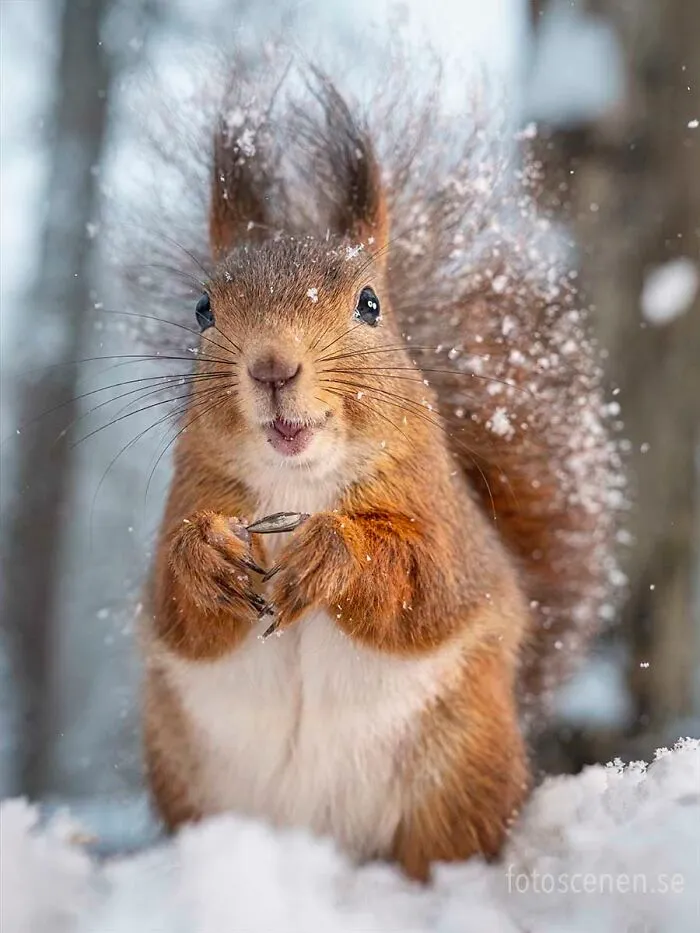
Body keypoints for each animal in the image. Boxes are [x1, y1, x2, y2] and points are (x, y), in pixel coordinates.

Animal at [137, 68, 622, 882]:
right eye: (203, 308)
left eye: (369, 303)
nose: (272, 366)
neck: (297, 480)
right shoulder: (191, 488)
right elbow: (180, 612)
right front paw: (206, 556)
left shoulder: (442, 515)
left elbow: (426, 582)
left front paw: (334, 554)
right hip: (188, 777)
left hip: (461, 768)